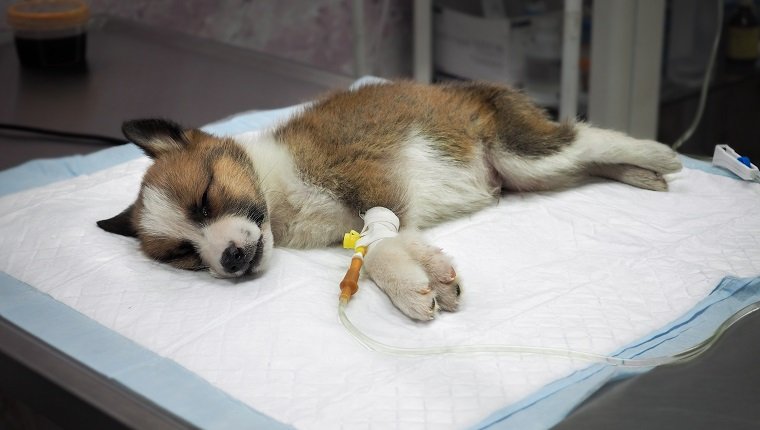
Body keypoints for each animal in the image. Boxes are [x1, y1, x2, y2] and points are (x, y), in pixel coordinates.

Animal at [96, 81, 684, 322]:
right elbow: (392, 246)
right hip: (528, 178)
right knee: (581, 160)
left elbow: (378, 246)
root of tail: (471, 89)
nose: (231, 260)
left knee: (583, 137)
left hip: (520, 153)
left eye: (205, 197)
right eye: (184, 255)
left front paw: (408, 288)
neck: (276, 189)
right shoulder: (382, 216)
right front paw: (430, 277)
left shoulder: (370, 180)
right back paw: (641, 174)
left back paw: (655, 154)